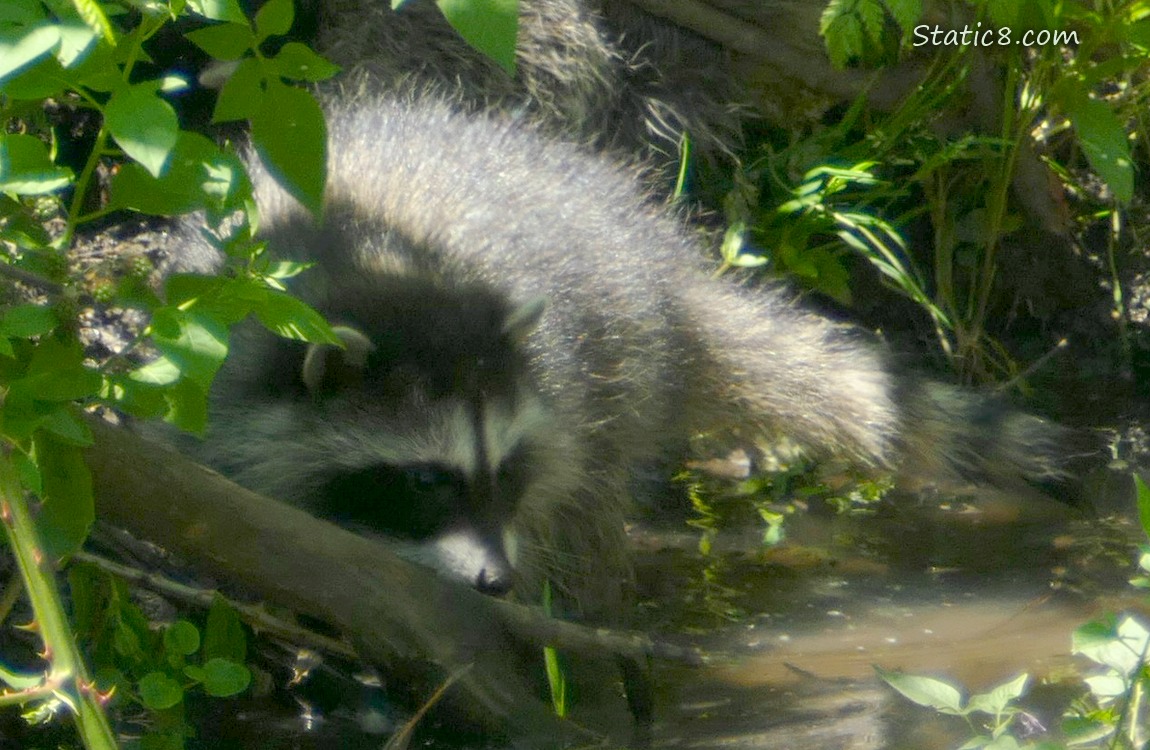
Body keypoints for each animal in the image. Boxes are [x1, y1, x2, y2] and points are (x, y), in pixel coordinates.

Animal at [176, 94, 1069, 617]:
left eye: (503, 470)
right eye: (427, 481)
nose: (497, 582)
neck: (374, 271)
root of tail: (661, 272)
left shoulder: (561, 410)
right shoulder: (215, 342)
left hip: (619, 375)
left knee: (588, 513)